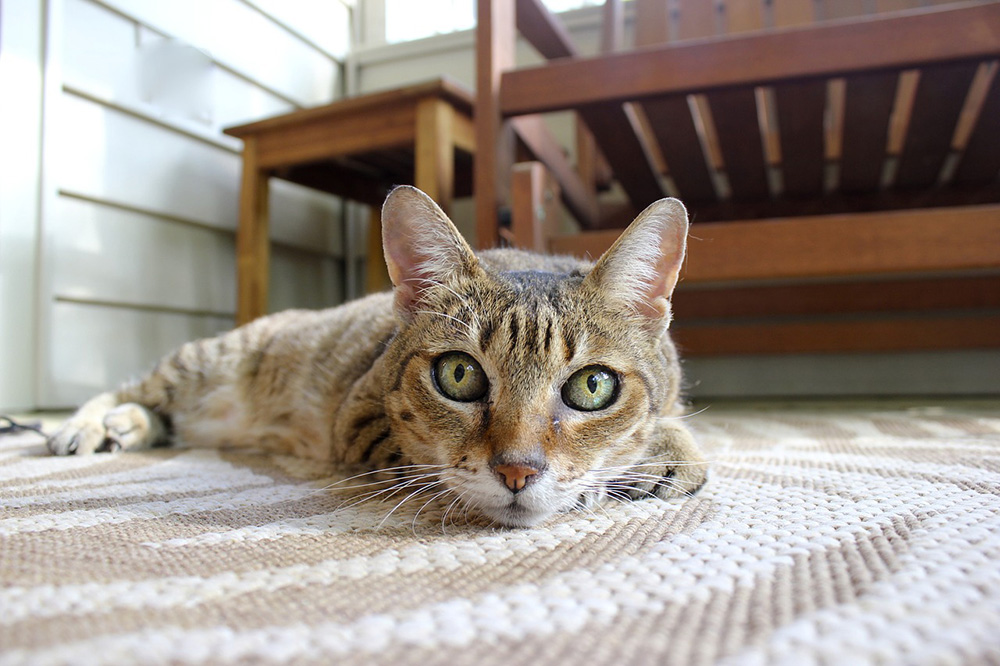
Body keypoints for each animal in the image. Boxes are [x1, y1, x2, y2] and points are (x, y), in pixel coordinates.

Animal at [45, 184, 704, 528]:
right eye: (458, 375)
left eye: (591, 386)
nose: (517, 471)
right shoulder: (358, 420)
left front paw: (665, 454)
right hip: (206, 360)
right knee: (132, 389)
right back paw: (86, 425)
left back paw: (127, 429)